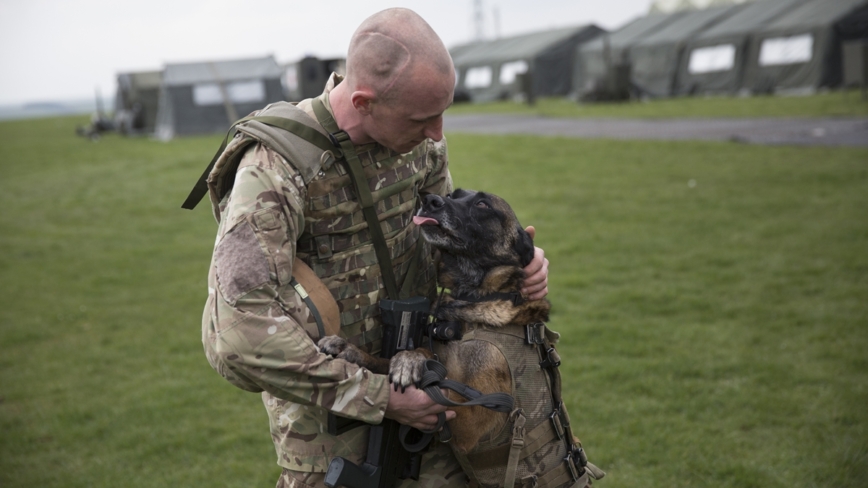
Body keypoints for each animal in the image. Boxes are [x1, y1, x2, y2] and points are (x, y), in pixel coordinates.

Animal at [318, 190, 548, 454]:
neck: (474, 299)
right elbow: (390, 362)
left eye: (482, 204)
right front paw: (351, 349)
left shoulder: (467, 426)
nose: (430, 200)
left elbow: (436, 383)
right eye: (453, 194)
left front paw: (411, 360)